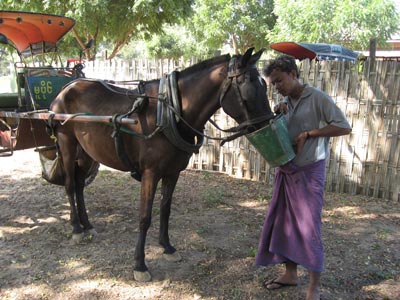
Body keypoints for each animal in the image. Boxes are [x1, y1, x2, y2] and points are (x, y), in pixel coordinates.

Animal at [49, 47, 276, 282]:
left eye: (265, 85)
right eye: (249, 89)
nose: (268, 124)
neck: (169, 113)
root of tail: (67, 88)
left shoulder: (172, 172)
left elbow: (165, 209)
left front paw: (167, 248)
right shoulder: (150, 173)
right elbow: (145, 217)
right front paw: (140, 265)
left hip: (87, 152)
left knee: (79, 184)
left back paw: (87, 225)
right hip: (67, 144)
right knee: (69, 184)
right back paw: (76, 228)